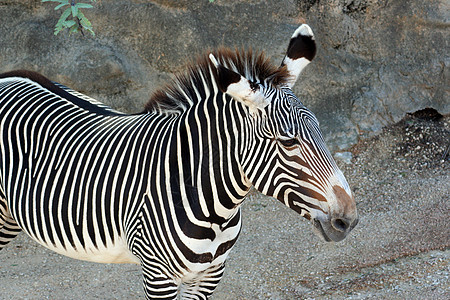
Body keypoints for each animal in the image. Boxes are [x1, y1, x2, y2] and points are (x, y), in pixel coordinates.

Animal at [0, 24, 358, 298]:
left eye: (320, 131)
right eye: (288, 141)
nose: (349, 220)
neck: (214, 205)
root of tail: (8, 77)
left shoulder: (212, 272)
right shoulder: (158, 275)